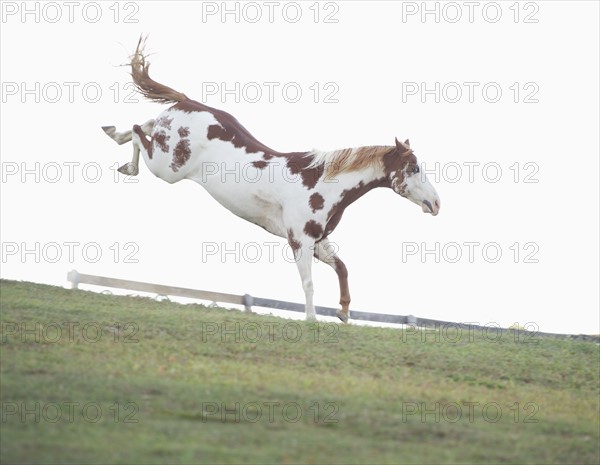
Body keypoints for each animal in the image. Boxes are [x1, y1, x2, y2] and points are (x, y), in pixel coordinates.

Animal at [103, 38, 440, 322]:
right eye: (413, 167)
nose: (436, 203)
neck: (320, 183)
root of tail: (188, 103)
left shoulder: (318, 241)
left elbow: (342, 267)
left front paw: (344, 312)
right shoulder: (299, 240)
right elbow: (308, 283)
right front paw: (312, 320)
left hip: (165, 149)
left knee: (146, 124)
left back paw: (113, 133)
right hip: (167, 168)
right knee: (139, 131)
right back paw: (126, 163)